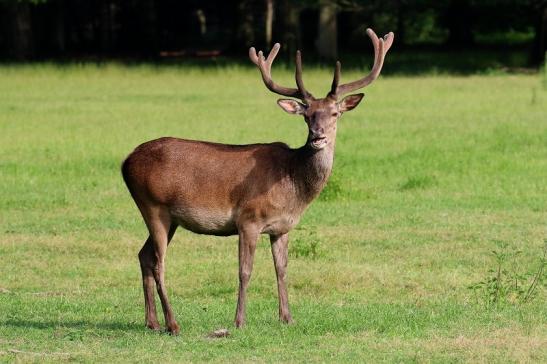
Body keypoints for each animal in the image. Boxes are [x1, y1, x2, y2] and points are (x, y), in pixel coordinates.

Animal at [121, 29, 392, 336]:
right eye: (307, 115)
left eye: (335, 113)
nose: (318, 136)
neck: (293, 186)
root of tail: (126, 162)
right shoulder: (248, 220)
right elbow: (245, 271)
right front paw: (239, 321)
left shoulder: (282, 227)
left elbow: (282, 269)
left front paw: (287, 317)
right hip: (153, 205)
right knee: (158, 263)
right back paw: (173, 323)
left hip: (169, 218)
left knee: (144, 255)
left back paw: (152, 321)